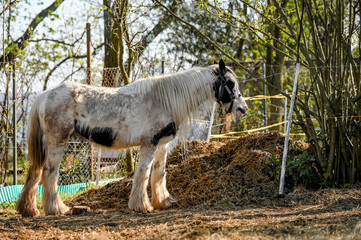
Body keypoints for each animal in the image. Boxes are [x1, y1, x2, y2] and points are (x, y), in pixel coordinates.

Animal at [16, 59, 248, 217]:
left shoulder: (162, 146)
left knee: (35, 173)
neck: (164, 100)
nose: (242, 109)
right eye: (229, 83)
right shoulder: (149, 144)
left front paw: (163, 202)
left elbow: (159, 174)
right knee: (50, 173)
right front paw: (141, 205)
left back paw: (29, 210)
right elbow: (143, 174)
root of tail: (46, 94)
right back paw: (57, 209)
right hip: (58, 141)